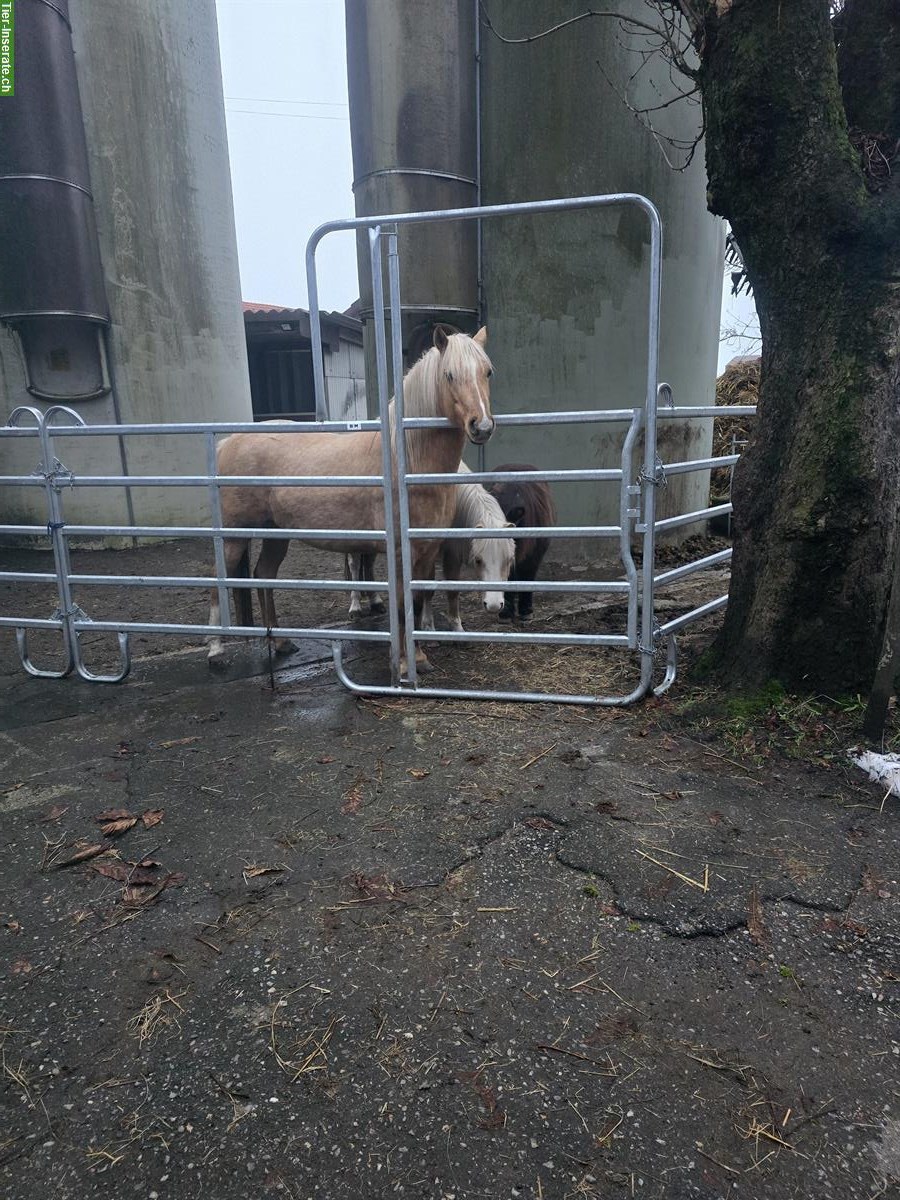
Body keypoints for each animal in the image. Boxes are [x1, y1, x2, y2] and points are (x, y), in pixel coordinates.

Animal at [207, 326, 494, 675]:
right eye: (449, 374)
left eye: (488, 371)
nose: (481, 426)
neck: (405, 461)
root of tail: (228, 443)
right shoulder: (400, 553)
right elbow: (401, 605)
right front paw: (402, 666)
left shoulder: (426, 550)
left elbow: (415, 604)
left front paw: (419, 659)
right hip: (233, 537)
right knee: (218, 580)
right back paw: (216, 651)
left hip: (275, 533)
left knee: (264, 575)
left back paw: (280, 642)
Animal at [346, 463, 515, 632]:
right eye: (478, 560)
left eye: (508, 560)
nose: (494, 605)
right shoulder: (433, 554)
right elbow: (430, 589)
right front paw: (428, 626)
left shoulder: (451, 555)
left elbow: (452, 589)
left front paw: (456, 627)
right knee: (354, 565)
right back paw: (355, 607)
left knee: (368, 563)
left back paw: (376, 602)